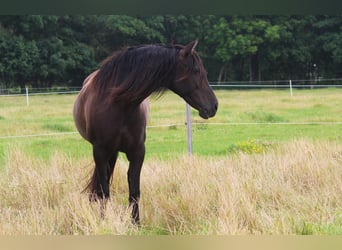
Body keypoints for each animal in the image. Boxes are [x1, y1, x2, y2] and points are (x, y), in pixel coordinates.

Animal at [73, 40, 218, 224]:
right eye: (196, 71)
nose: (214, 106)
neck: (119, 104)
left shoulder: (137, 152)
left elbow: (134, 191)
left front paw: (136, 223)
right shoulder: (100, 152)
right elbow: (104, 191)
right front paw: (104, 221)